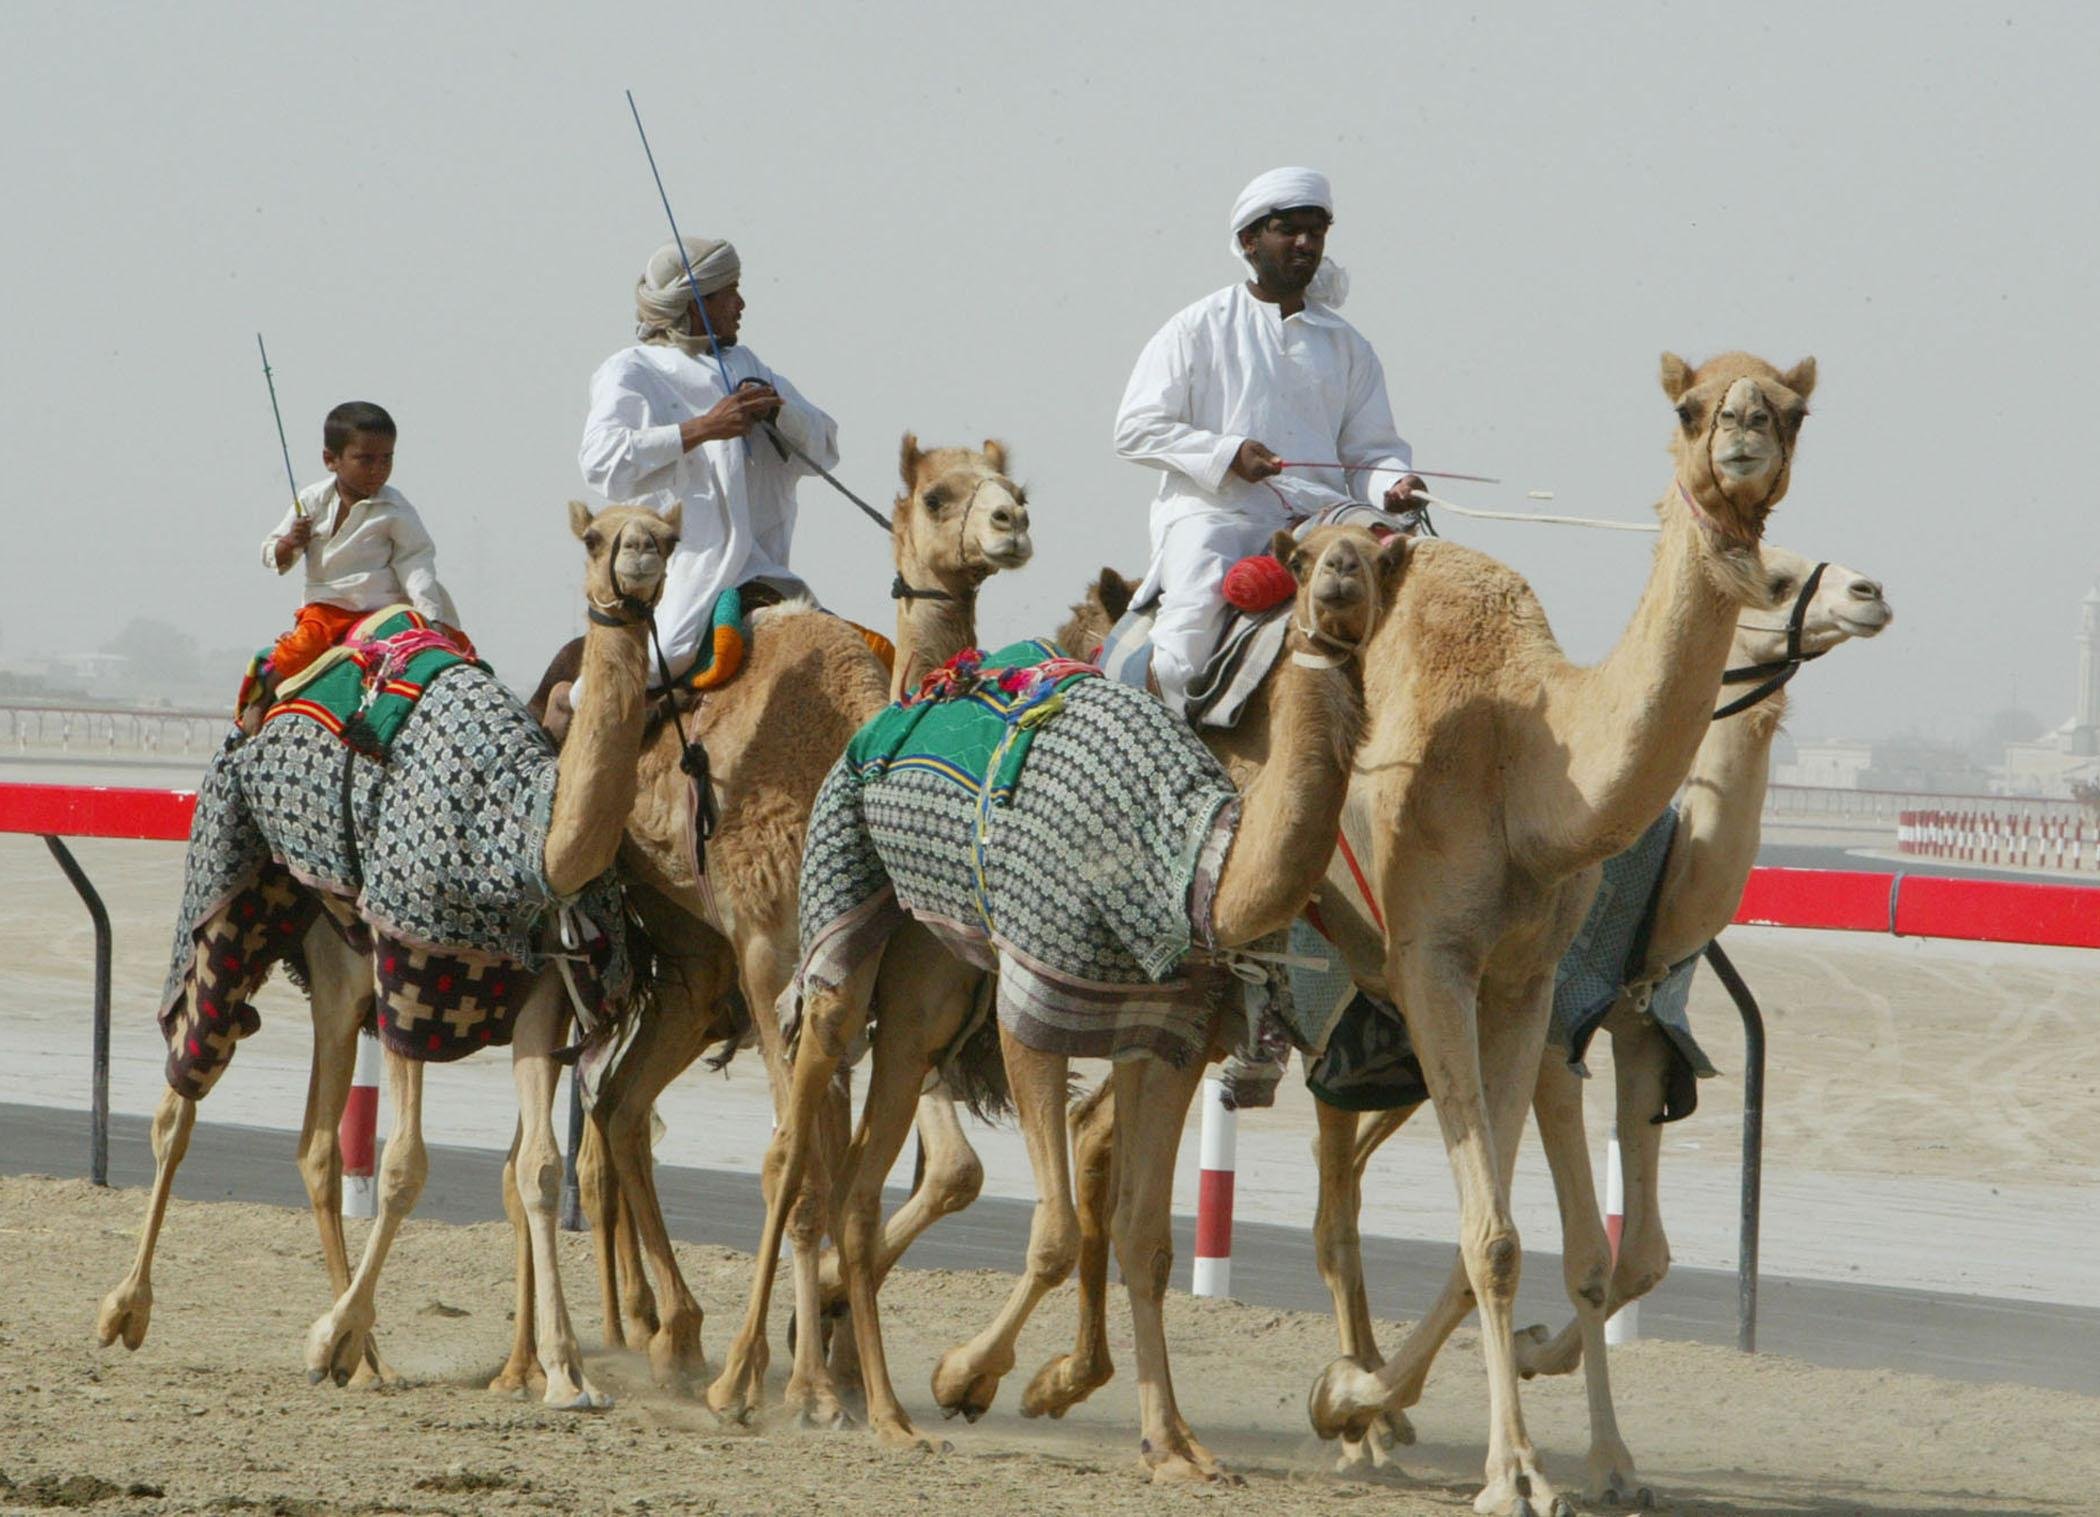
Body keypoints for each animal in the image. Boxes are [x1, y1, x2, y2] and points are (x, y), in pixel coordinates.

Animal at [98, 500, 680, 1403]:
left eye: (667, 531)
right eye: (596, 536)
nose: (643, 554)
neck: (520, 838)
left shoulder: (541, 996)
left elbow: (540, 1170)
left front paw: (563, 1372)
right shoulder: (411, 972)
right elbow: (405, 1165)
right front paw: (325, 1334)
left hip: (338, 973)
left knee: (313, 1147)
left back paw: (367, 1358)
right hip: (234, 901)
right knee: (182, 1092)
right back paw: (129, 1308)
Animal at [709, 525, 1411, 1470]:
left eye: (1380, 556)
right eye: (1300, 557)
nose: (1338, 581)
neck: (1190, 864)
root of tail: (905, 702)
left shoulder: (1170, 1032)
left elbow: (1146, 1236)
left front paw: (1173, 1444)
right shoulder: (1035, 1003)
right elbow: (1054, 1231)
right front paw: (966, 1376)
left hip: (929, 990)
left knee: (860, 1184)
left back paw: (885, 1413)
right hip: (840, 919)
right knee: (795, 1148)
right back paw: (742, 1384)